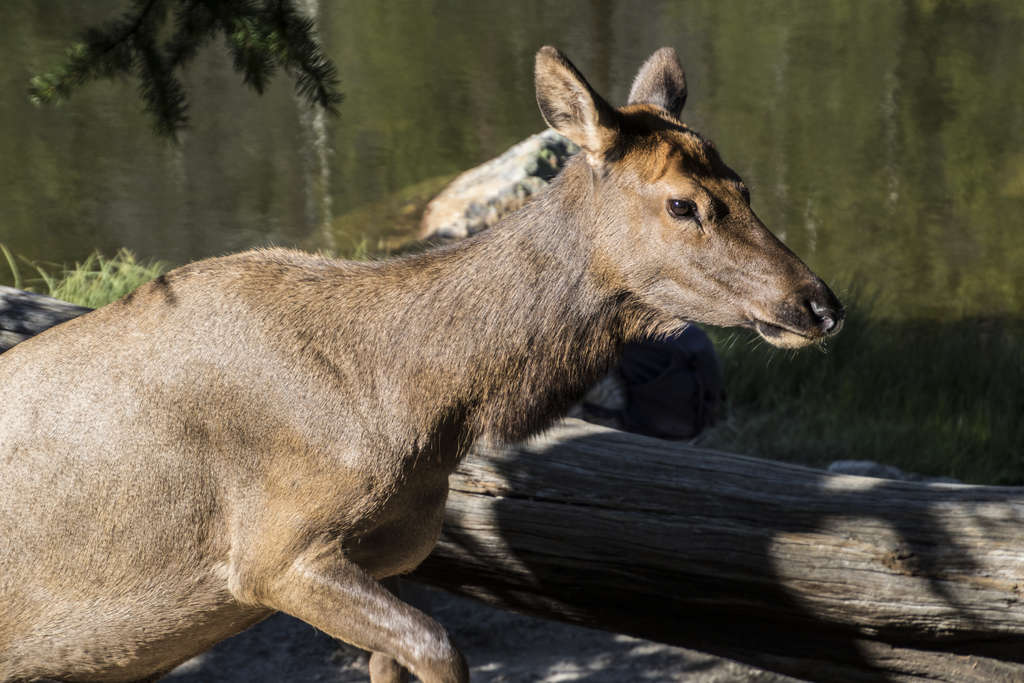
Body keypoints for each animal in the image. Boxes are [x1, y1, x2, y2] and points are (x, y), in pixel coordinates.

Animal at [0, 45, 839, 679]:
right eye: (681, 203)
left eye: (745, 185)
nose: (819, 303)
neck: (421, 403)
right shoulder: (271, 550)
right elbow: (438, 646)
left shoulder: (395, 553)